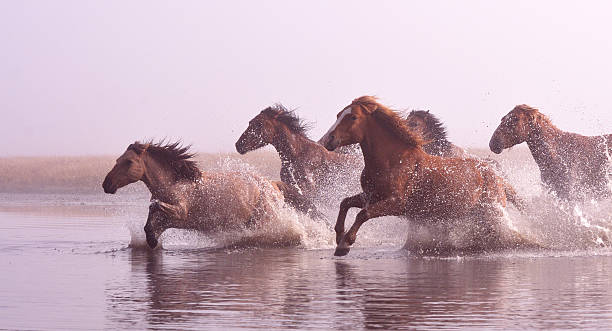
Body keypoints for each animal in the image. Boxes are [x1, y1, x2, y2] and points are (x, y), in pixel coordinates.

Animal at [101, 141, 316, 249]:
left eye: (128, 162)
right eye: (118, 160)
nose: (106, 185)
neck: (176, 182)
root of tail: (272, 185)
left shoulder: (180, 212)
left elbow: (154, 206)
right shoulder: (168, 219)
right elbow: (150, 223)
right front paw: (152, 242)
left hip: (264, 220)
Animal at [318, 96, 524, 256]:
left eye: (353, 117)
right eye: (338, 115)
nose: (327, 140)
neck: (393, 161)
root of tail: (496, 175)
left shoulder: (397, 203)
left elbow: (363, 214)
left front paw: (345, 244)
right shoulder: (371, 195)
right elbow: (345, 203)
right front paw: (339, 236)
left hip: (491, 213)